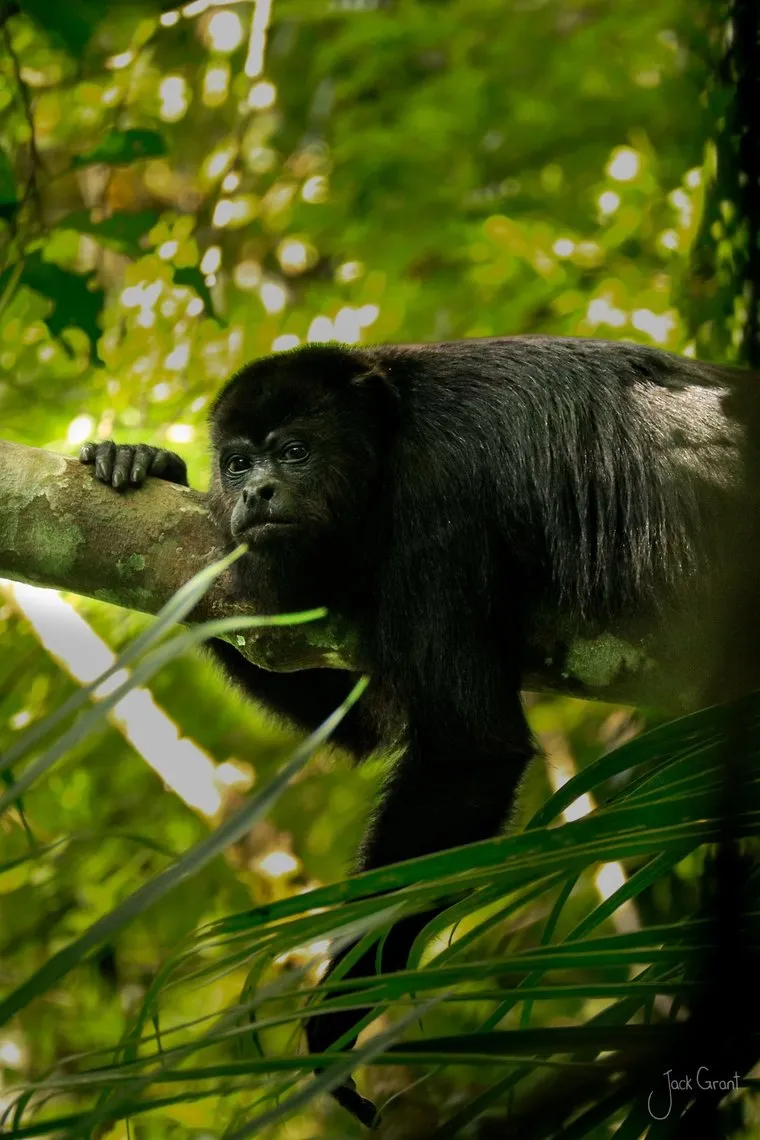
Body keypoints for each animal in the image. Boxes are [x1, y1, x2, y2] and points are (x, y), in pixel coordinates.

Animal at [80, 335, 759, 1127]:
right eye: (239, 462)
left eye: (296, 451)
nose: (255, 493)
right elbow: (357, 716)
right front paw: (147, 461)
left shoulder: (434, 503)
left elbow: (468, 753)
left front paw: (336, 1015)